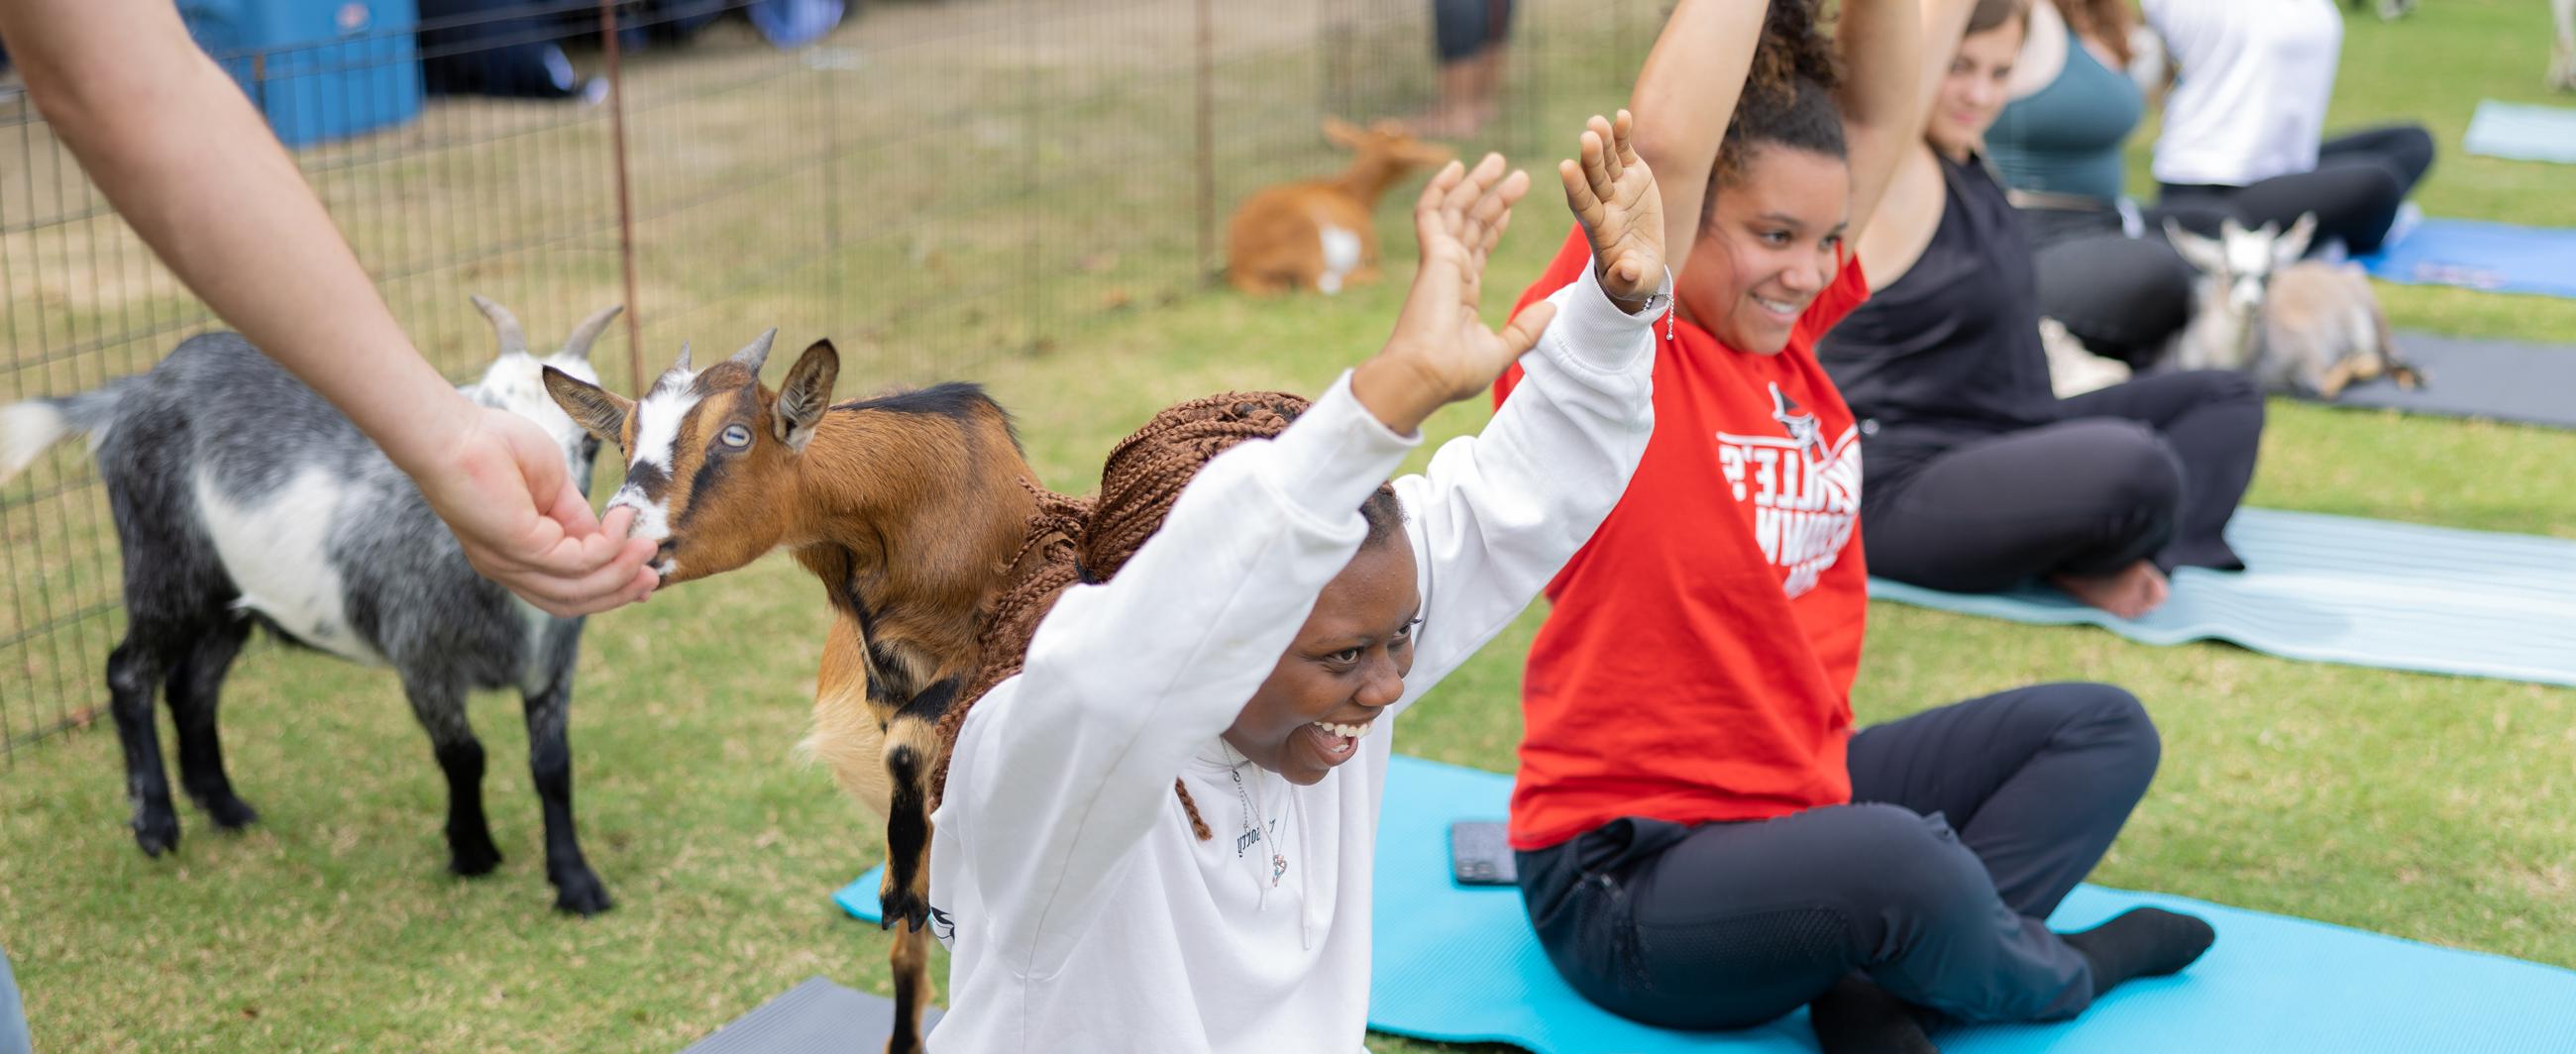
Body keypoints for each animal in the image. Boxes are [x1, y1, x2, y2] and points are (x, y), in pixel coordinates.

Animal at [0, 293, 620, 911]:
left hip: (228, 597)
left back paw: (225, 808)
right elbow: (464, 756)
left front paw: (576, 882)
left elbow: (552, 766)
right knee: (127, 671)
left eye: (589, 442)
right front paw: (473, 853)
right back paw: (155, 823)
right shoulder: (421, 658)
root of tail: (137, 387)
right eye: (490, 419)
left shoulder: (553, 665)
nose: (542, 507)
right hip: (162, 560)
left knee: (192, 688)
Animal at [543, 332, 1035, 1046]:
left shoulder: (985, 651)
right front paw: (907, 893)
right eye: (624, 441)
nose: (619, 531)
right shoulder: (879, 680)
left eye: (736, 435)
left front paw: (903, 894)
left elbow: (910, 743)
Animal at [2164, 213, 2421, 399]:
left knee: (2389, 355)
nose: (2250, 303)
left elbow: (2328, 385)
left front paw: (2353, 364)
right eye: (2224, 271)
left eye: (2270, 274)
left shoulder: (2311, 355)